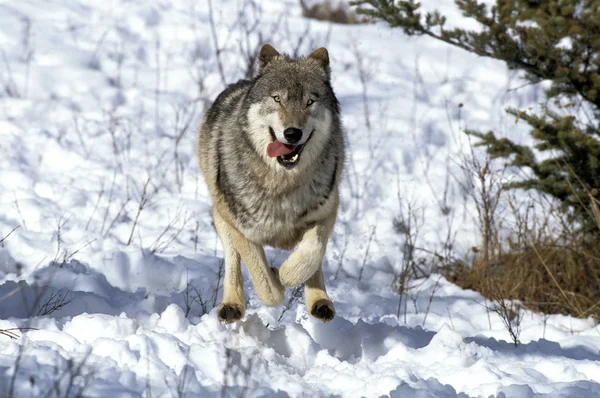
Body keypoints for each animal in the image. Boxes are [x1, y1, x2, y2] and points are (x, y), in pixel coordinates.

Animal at [199, 43, 344, 324]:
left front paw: (285, 273)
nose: (292, 133)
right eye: (277, 99)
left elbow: (311, 254)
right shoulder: (241, 228)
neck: (282, 184)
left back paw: (320, 303)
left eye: (310, 101)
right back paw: (231, 305)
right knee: (232, 260)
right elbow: (267, 287)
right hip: (220, 215)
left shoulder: (327, 210)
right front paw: (275, 277)